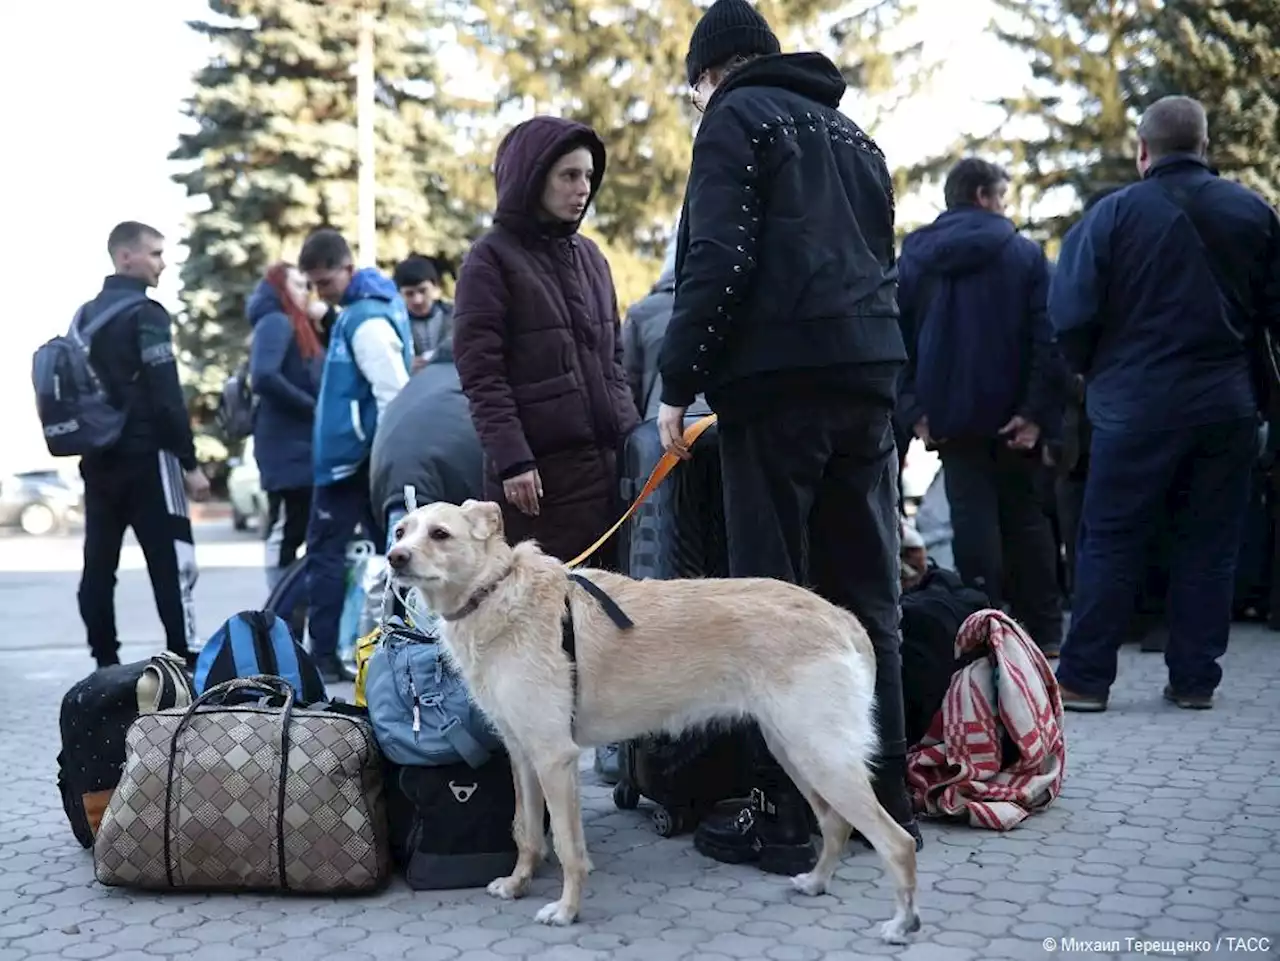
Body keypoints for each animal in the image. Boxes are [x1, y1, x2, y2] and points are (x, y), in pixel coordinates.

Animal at [389, 504, 921, 946]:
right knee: (835, 824)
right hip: (794, 751)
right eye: (400, 531)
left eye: (439, 534)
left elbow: (567, 845)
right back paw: (816, 882)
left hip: (821, 755)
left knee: (898, 843)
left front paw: (566, 911)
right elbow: (527, 832)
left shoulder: (555, 758)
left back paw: (901, 924)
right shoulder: (523, 755)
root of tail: (838, 615)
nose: (394, 558)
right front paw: (519, 884)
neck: (496, 591)